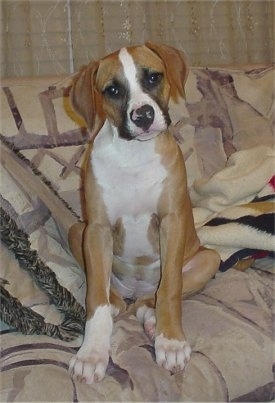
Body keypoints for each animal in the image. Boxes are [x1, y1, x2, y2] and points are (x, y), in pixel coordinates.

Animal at [68, 41, 221, 386]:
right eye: (112, 90)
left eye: (153, 77)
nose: (143, 115)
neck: (133, 155)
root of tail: (134, 292)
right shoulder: (96, 229)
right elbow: (95, 297)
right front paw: (92, 352)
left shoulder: (172, 222)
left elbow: (171, 289)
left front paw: (171, 342)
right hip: (76, 231)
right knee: (111, 294)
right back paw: (118, 304)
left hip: (209, 258)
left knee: (153, 298)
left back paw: (152, 318)